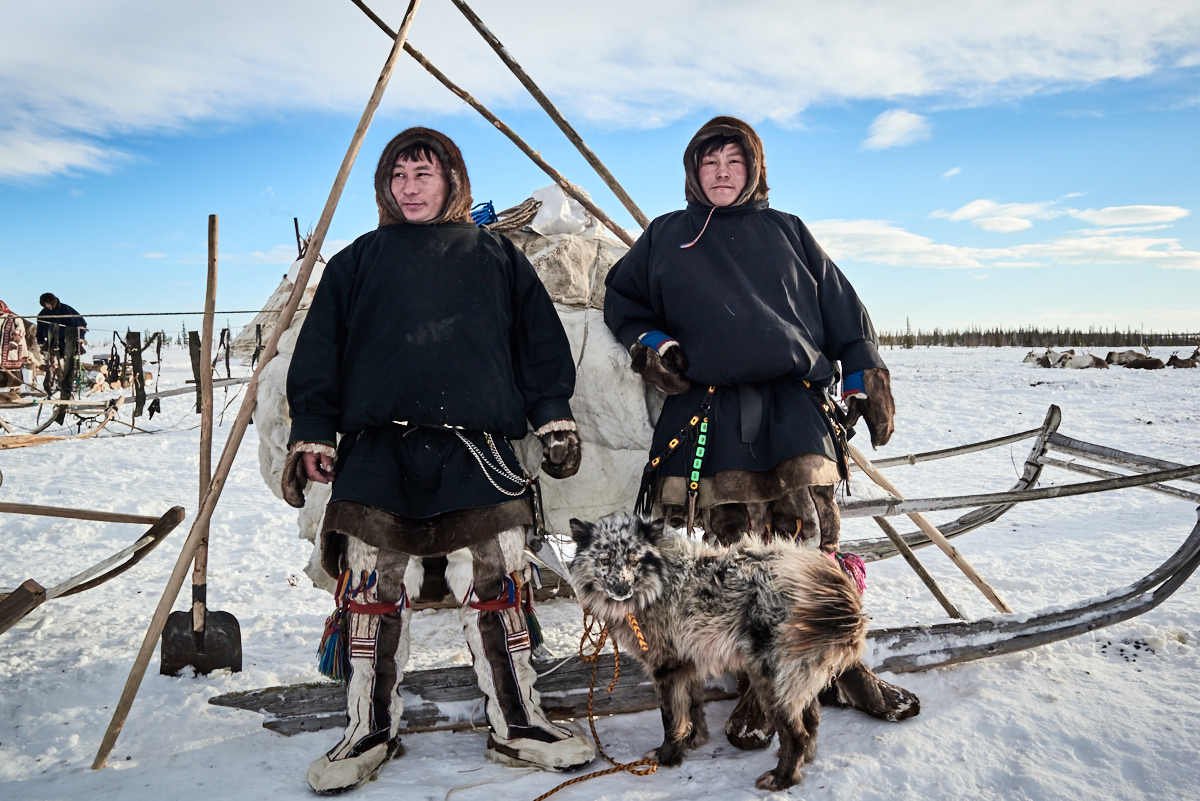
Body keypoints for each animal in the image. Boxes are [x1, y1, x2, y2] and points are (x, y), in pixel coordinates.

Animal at [566, 513, 868, 786]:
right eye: (604, 560)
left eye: (633, 560)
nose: (621, 589)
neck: (660, 583)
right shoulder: (688, 664)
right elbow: (691, 710)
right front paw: (692, 740)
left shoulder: (666, 668)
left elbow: (671, 719)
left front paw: (668, 756)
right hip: (796, 682)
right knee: (812, 722)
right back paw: (801, 762)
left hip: (770, 681)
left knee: (797, 734)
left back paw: (782, 778)